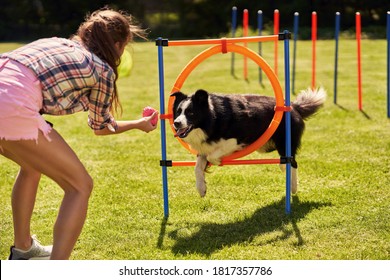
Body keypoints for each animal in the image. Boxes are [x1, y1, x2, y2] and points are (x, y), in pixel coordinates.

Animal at [171, 88, 326, 197]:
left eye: (191, 113)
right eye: (178, 112)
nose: (176, 123)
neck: (212, 118)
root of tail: (293, 106)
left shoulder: (237, 139)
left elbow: (212, 156)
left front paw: (216, 162)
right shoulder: (204, 147)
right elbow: (197, 167)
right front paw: (201, 188)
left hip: (284, 141)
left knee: (292, 162)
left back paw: (293, 188)